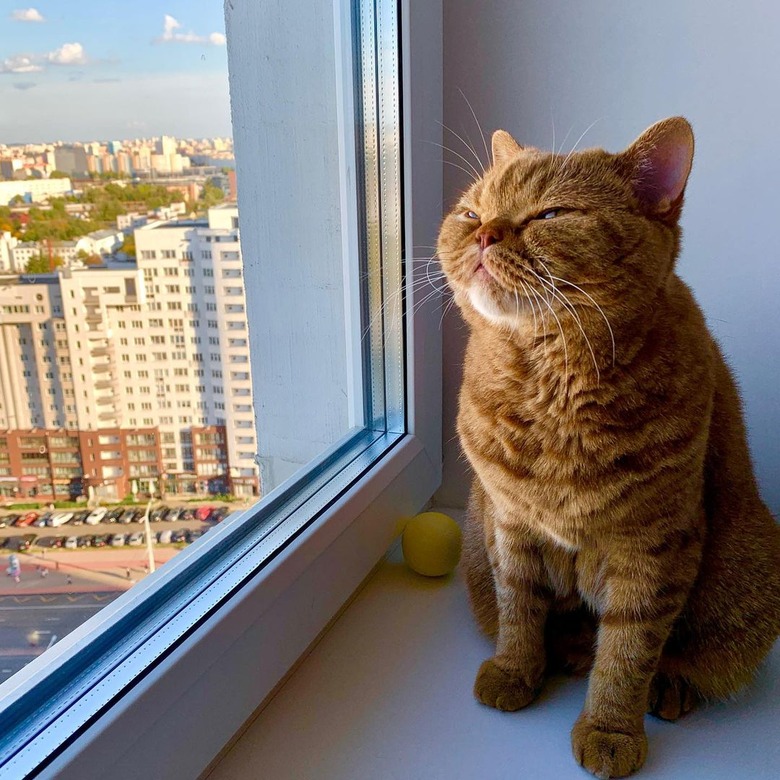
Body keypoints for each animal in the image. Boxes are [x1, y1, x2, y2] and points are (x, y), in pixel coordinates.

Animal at [438, 117, 780, 780]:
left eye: (550, 214)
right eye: (470, 213)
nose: (486, 232)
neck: (550, 387)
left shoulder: (655, 544)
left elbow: (628, 649)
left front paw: (609, 728)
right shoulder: (510, 524)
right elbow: (519, 609)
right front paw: (517, 670)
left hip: (746, 572)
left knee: (690, 656)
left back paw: (668, 686)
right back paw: (565, 652)